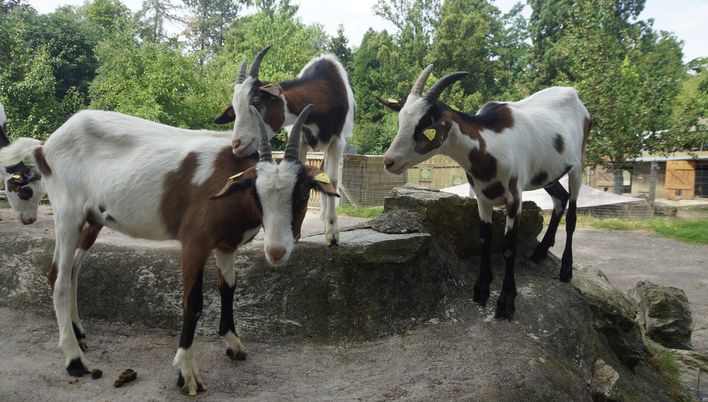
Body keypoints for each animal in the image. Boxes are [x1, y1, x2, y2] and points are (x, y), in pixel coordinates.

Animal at [0, 104, 338, 396]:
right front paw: (186, 372)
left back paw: (80, 336)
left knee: (71, 271)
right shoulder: (195, 242)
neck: (228, 181)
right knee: (57, 277)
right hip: (67, 211)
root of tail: (43, 147)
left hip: (91, 219)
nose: (277, 252)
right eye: (256, 193)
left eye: (303, 195)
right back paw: (73, 360)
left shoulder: (225, 244)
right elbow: (193, 302)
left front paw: (233, 343)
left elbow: (228, 288)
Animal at [212, 44, 352, 245]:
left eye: (257, 100)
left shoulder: (337, 140)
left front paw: (332, 232)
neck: (327, 88)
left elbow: (331, 180)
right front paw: (296, 234)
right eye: (235, 110)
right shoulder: (297, 136)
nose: (237, 144)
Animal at [378, 65, 588, 320]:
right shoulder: (482, 197)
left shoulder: (514, 197)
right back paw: (539, 252)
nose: (389, 162)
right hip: (548, 172)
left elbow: (508, 247)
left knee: (572, 214)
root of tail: (573, 94)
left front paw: (506, 302)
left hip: (578, 165)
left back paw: (566, 270)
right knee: (560, 198)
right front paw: (481, 289)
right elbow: (484, 238)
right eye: (400, 121)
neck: (489, 145)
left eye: (425, 124)